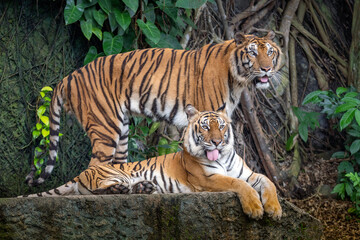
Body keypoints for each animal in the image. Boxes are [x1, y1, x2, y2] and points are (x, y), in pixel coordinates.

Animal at [22, 106, 282, 220]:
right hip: (113, 174)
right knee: (97, 192)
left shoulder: (251, 174)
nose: (217, 142)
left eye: (221, 126)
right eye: (206, 127)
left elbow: (269, 183)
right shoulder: (208, 179)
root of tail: (84, 172)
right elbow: (239, 185)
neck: (224, 158)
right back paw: (123, 189)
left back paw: (145, 187)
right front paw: (255, 209)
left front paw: (274, 210)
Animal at [26, 30, 282, 186]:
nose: (267, 69)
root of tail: (69, 76)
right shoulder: (205, 118)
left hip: (122, 130)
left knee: (117, 166)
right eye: (252, 52)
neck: (238, 79)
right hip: (106, 127)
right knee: (94, 168)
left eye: (270, 51)